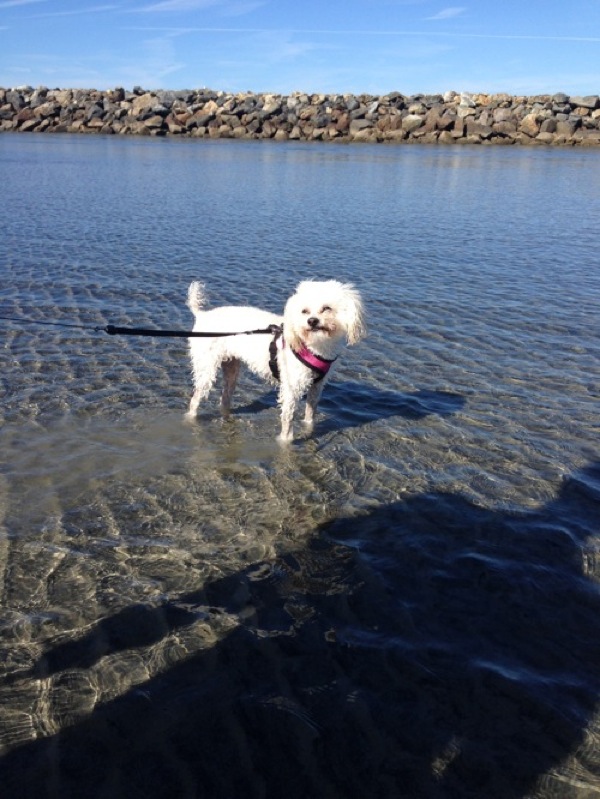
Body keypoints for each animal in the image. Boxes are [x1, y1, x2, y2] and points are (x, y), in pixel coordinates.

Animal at [185, 280, 366, 444]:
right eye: (304, 311)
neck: (314, 345)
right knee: (195, 399)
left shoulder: (317, 386)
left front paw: (308, 429)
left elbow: (310, 413)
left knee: (224, 398)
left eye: (327, 308)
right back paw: (190, 419)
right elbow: (288, 419)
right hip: (206, 369)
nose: (312, 321)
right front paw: (285, 442)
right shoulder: (291, 387)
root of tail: (202, 315)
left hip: (231, 368)